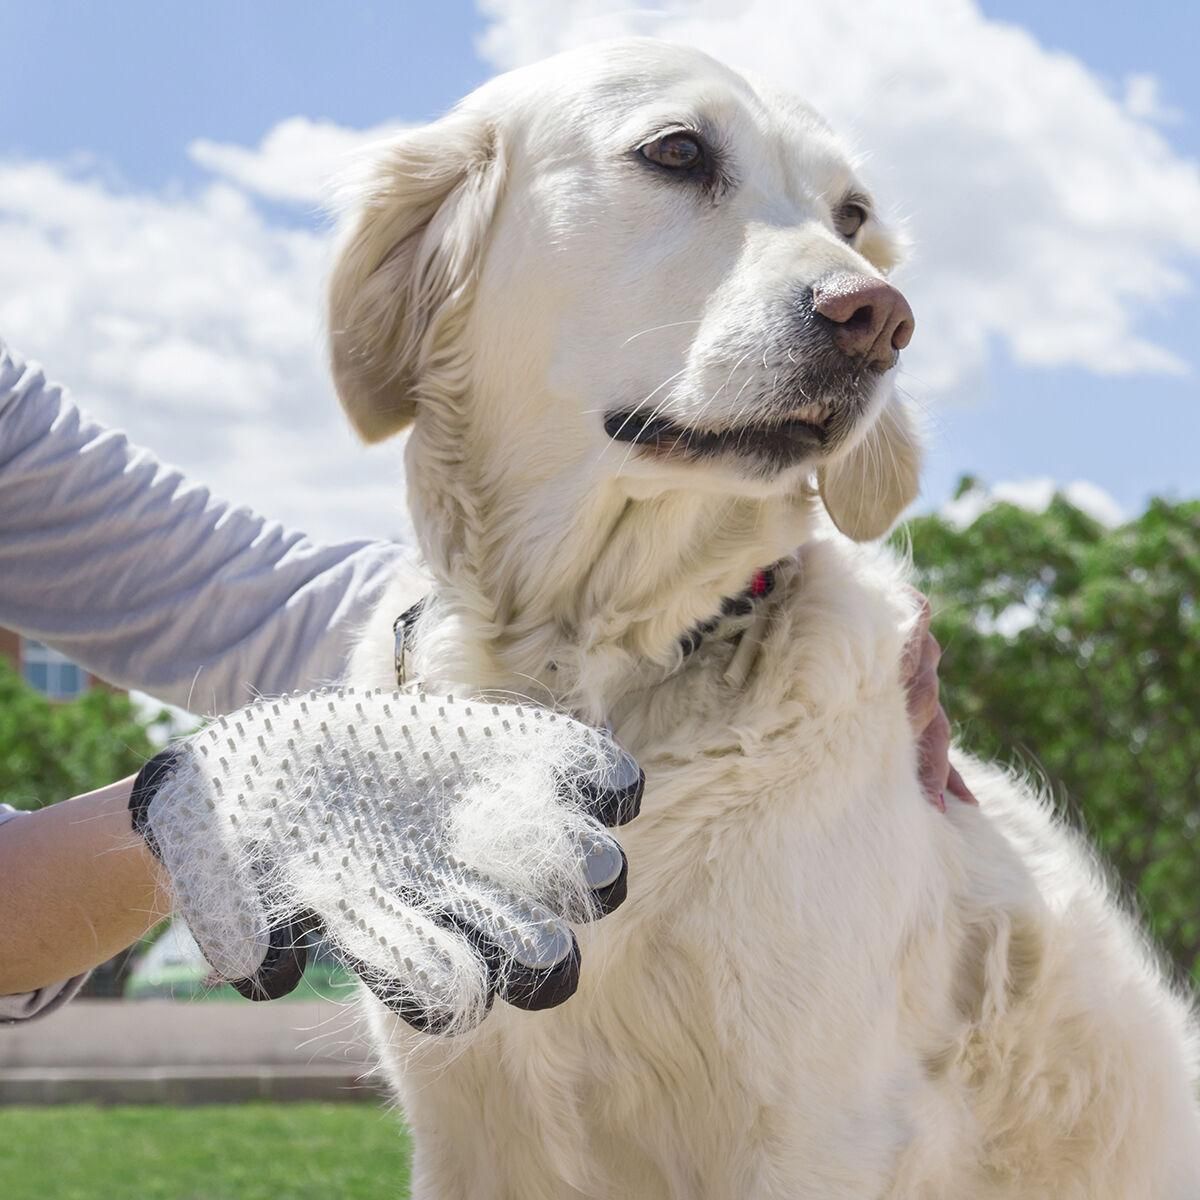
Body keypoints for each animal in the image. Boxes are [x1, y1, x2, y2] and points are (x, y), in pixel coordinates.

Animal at [328, 37, 1200, 1200]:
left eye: (854, 214)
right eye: (677, 151)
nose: (881, 318)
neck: (589, 658)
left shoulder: (813, 1127)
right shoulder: (466, 1128)